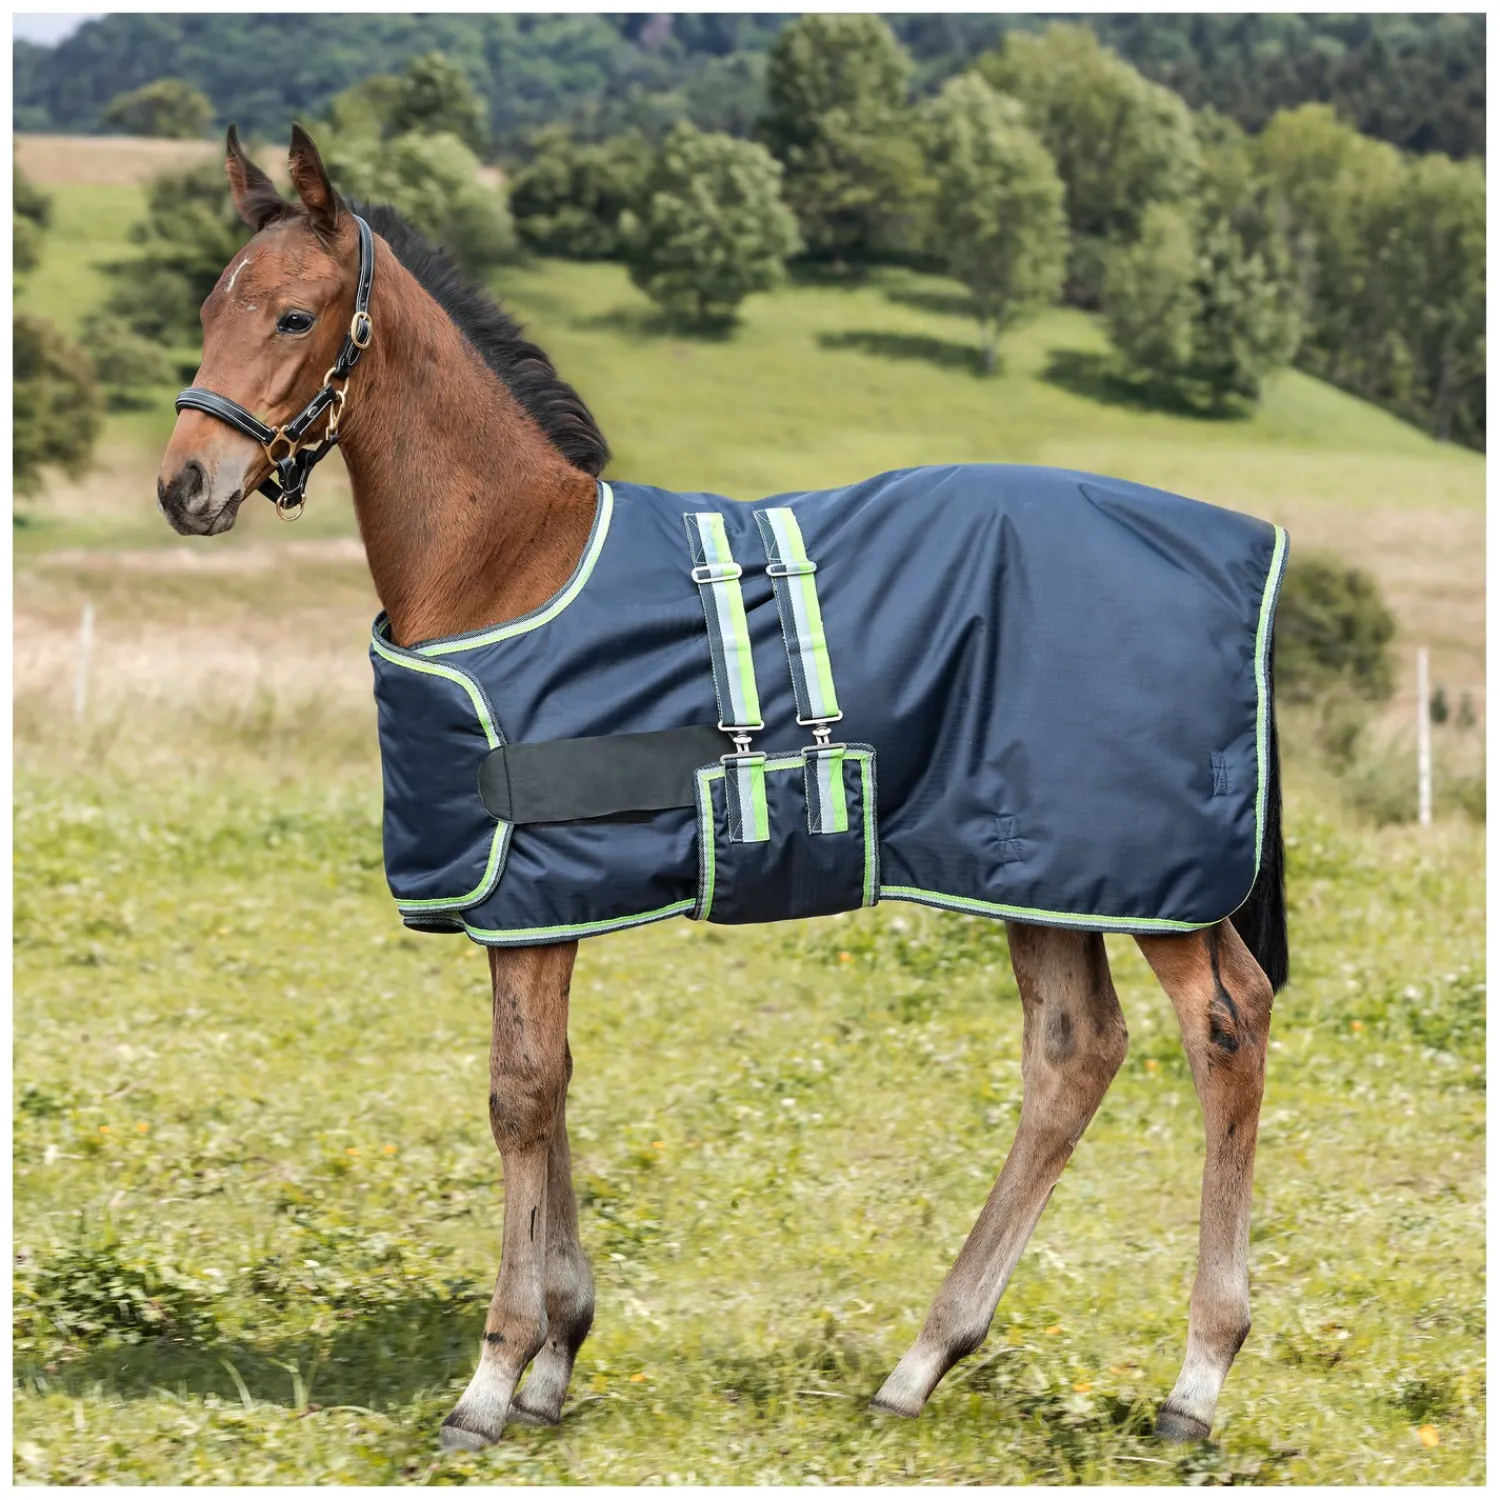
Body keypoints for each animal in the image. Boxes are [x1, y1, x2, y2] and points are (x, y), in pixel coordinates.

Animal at [156, 126, 1287, 1451]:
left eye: (293, 314)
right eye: (209, 306)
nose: (186, 485)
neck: (504, 558)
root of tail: (1245, 548)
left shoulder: (534, 894)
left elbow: (519, 1097)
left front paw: (494, 1377)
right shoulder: (533, 905)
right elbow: (551, 1089)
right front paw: (556, 1358)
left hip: (1152, 878)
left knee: (1226, 1026)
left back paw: (1196, 1379)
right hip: (1035, 870)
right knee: (1073, 1055)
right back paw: (923, 1361)